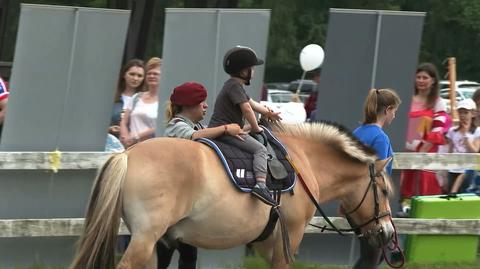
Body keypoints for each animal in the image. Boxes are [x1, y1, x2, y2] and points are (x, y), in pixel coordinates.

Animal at [70, 122, 394, 268]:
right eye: (384, 190)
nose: (388, 232)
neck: (302, 164)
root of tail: (126, 154)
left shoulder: (265, 244)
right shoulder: (288, 238)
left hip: (153, 241)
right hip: (145, 238)